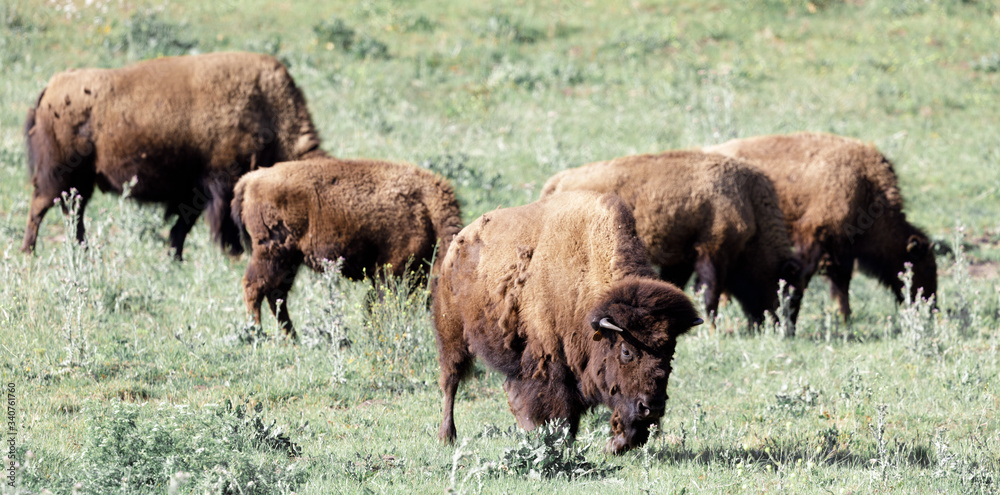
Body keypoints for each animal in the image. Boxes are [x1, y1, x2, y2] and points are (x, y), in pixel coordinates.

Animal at [21, 51, 324, 260]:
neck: (265, 108)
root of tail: (50, 89)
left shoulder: (196, 193)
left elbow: (183, 226)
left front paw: (175, 257)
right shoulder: (220, 184)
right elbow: (218, 224)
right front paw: (231, 254)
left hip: (79, 182)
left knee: (74, 213)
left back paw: (81, 251)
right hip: (58, 174)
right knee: (40, 207)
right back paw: (29, 251)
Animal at [232, 158, 462, 338]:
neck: (427, 210)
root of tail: (251, 179)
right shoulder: (392, 269)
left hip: (289, 261)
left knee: (276, 295)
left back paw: (292, 339)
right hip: (273, 253)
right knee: (254, 287)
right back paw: (256, 333)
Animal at [432, 192, 704, 456]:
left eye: (670, 351)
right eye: (626, 351)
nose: (652, 407)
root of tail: (459, 241)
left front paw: (613, 445)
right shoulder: (551, 364)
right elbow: (559, 410)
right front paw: (562, 444)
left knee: (509, 389)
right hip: (452, 334)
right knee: (451, 382)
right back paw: (447, 437)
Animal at [540, 153, 804, 328]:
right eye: (789, 290)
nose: (785, 328)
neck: (748, 199)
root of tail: (556, 183)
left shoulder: (682, 259)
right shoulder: (712, 252)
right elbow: (709, 293)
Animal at [704, 130, 936, 320]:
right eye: (925, 265)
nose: (932, 307)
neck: (864, 183)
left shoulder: (841, 247)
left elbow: (842, 281)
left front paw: (844, 318)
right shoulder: (814, 236)